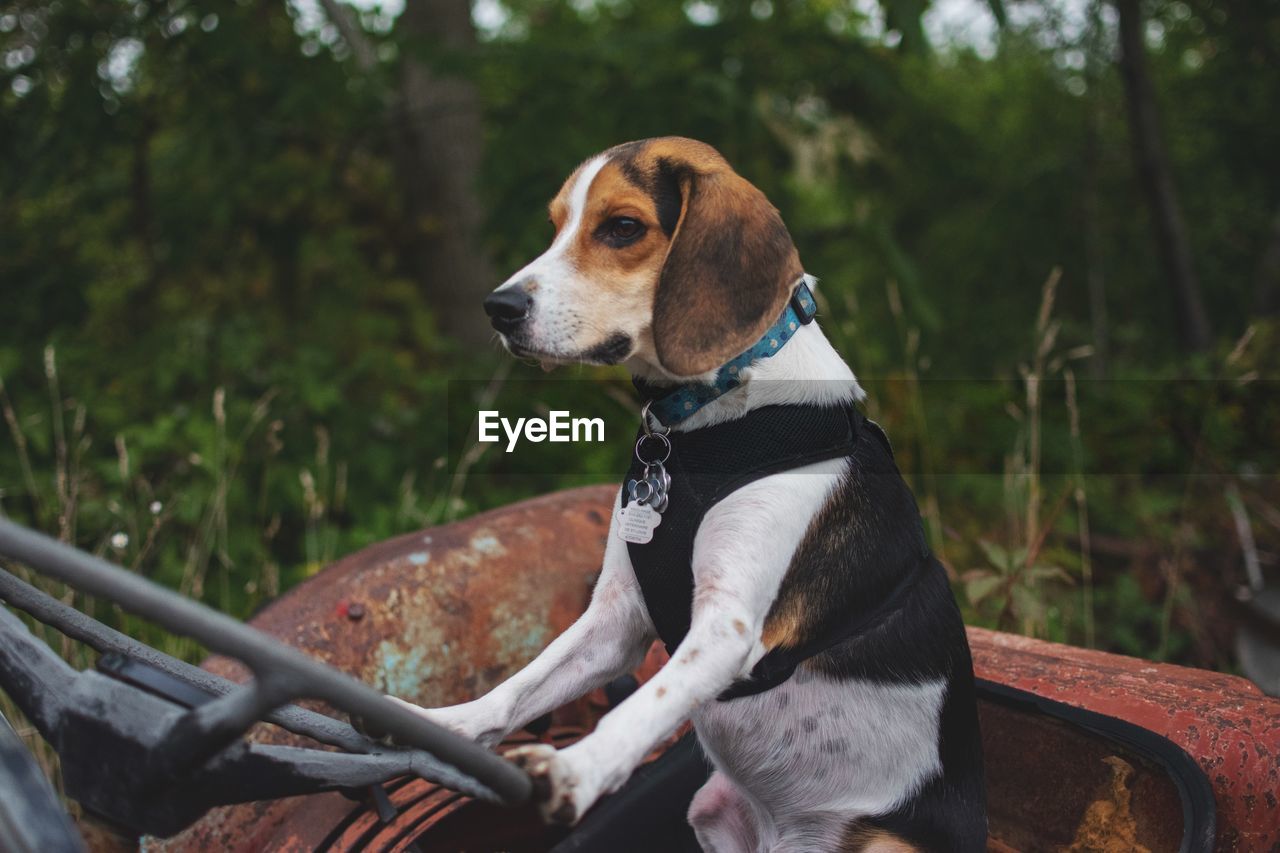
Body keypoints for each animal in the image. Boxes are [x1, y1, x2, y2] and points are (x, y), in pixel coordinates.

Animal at [394, 136, 983, 845]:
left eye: (622, 227)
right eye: (556, 225)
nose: (499, 308)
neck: (709, 422)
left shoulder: (727, 627)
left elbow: (640, 707)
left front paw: (577, 769)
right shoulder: (615, 621)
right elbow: (520, 686)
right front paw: (442, 725)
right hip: (710, 809)